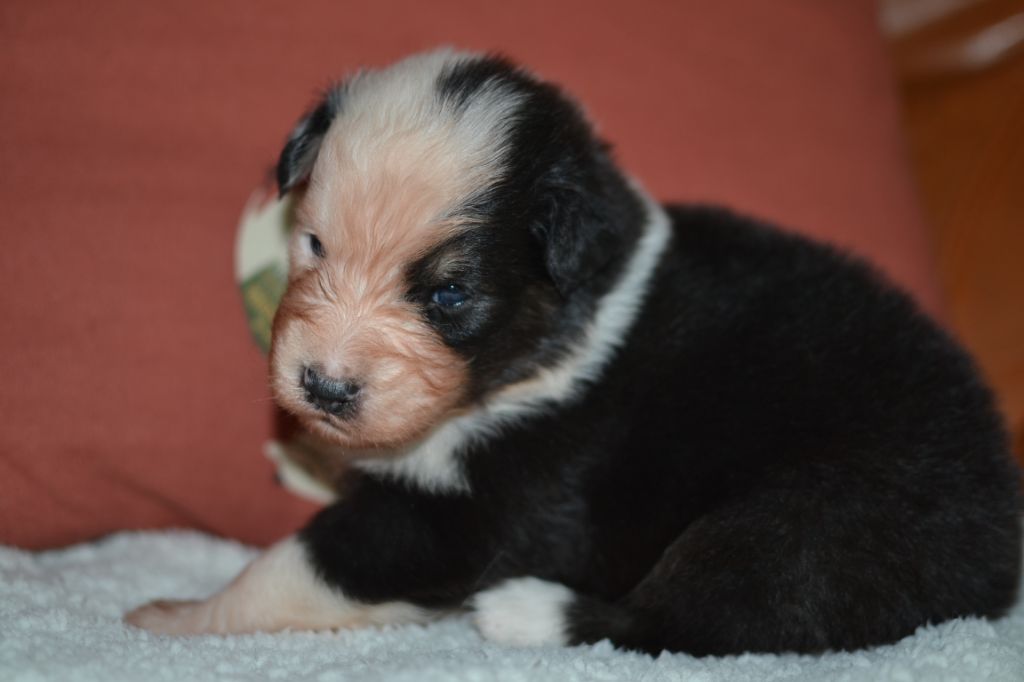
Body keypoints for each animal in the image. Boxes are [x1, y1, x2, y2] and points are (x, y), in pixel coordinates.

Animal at [130, 47, 1024, 655]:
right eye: (312, 244)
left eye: (450, 296)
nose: (323, 387)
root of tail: (995, 549)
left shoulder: (477, 509)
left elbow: (298, 564)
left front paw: (173, 616)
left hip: (808, 518)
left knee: (706, 618)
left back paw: (523, 611)